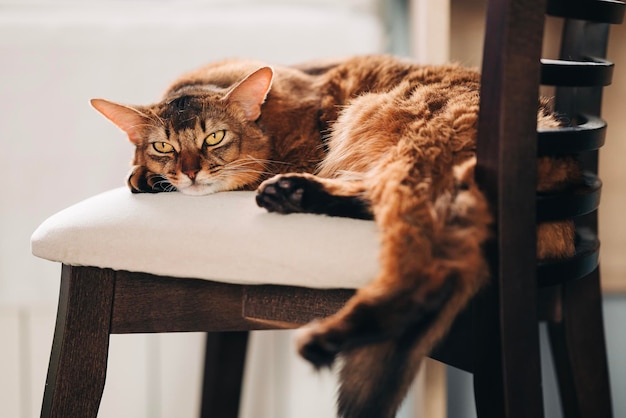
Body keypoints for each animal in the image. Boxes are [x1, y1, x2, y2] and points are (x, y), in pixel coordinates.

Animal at [90, 55, 576, 418]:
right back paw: (293, 194)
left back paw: (329, 337)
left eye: (215, 137)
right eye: (163, 146)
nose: (189, 172)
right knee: (376, 200)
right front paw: (147, 176)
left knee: (428, 265)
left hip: (387, 122)